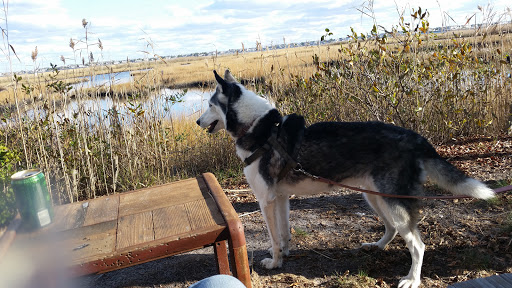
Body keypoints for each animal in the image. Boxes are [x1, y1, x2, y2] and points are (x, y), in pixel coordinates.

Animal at [194, 70, 494, 288]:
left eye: (209, 105)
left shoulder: (265, 200)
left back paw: (412, 279)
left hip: (392, 203)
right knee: (392, 230)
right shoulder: (280, 198)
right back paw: (377, 246)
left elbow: (275, 237)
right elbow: (284, 233)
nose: (197, 122)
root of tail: (416, 138)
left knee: (418, 245)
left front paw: (275, 262)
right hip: (374, 197)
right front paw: (284, 256)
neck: (260, 129)